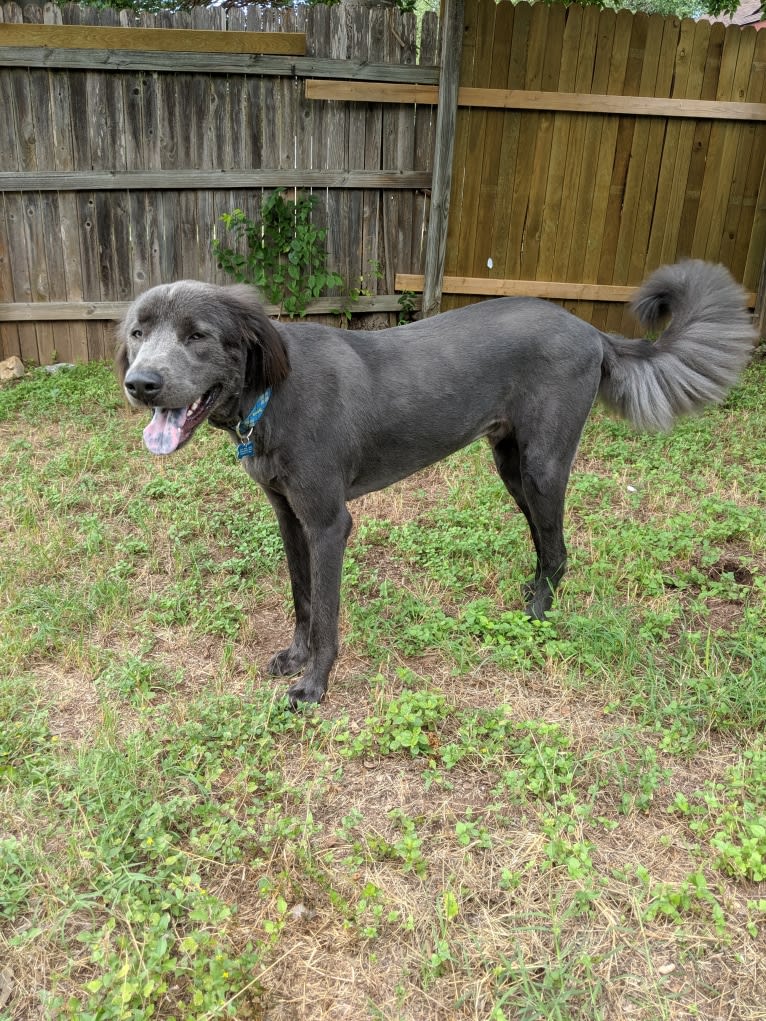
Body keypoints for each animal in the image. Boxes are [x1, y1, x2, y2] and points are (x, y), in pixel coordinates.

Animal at [118, 261, 755, 702]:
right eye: (137, 333)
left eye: (198, 335)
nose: (140, 384)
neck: (271, 391)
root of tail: (591, 330)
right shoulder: (289, 517)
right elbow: (301, 599)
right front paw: (295, 658)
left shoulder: (329, 524)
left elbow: (325, 613)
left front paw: (315, 685)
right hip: (511, 466)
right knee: (544, 543)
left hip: (543, 466)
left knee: (559, 548)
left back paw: (538, 613)